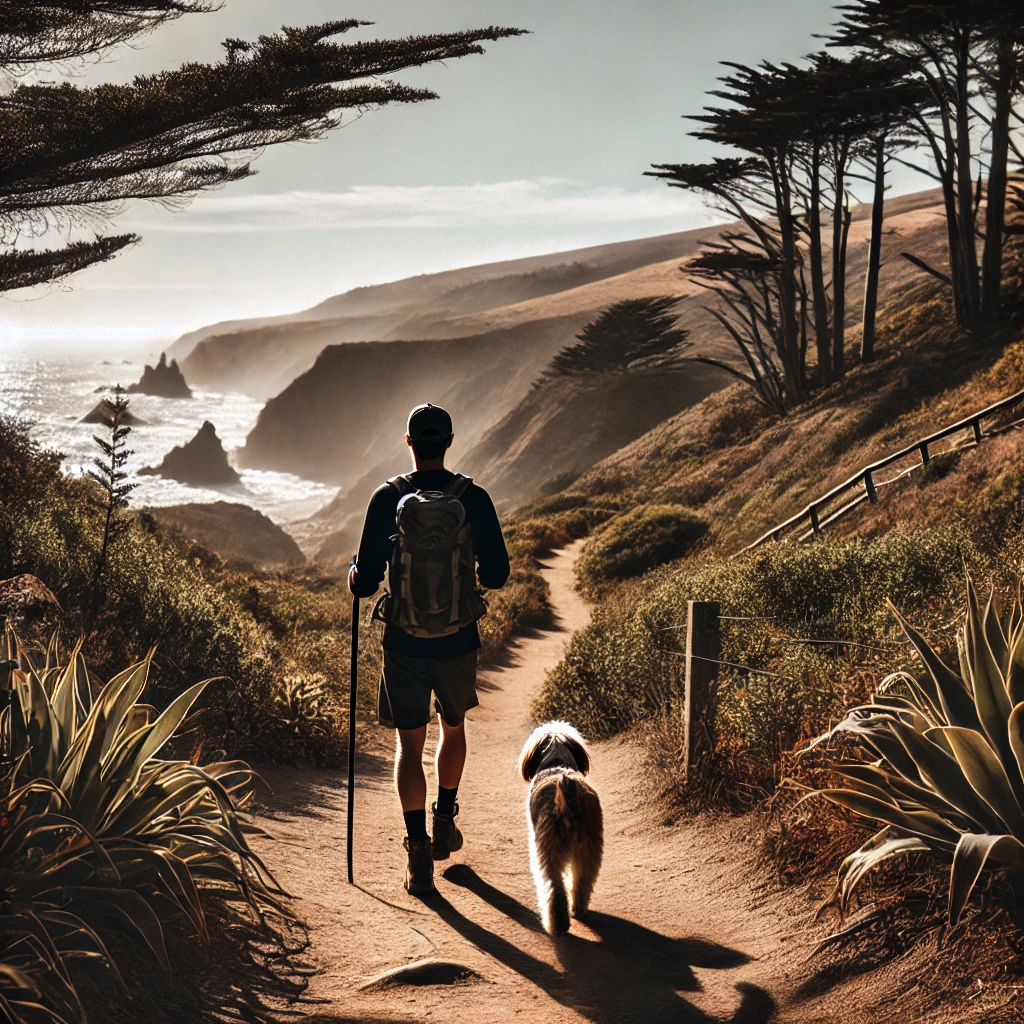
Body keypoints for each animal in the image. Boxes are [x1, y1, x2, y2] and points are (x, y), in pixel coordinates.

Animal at [520, 720, 598, 937]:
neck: (556, 764)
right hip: (589, 849)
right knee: (582, 882)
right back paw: (577, 910)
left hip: (549, 851)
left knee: (553, 889)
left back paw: (557, 925)